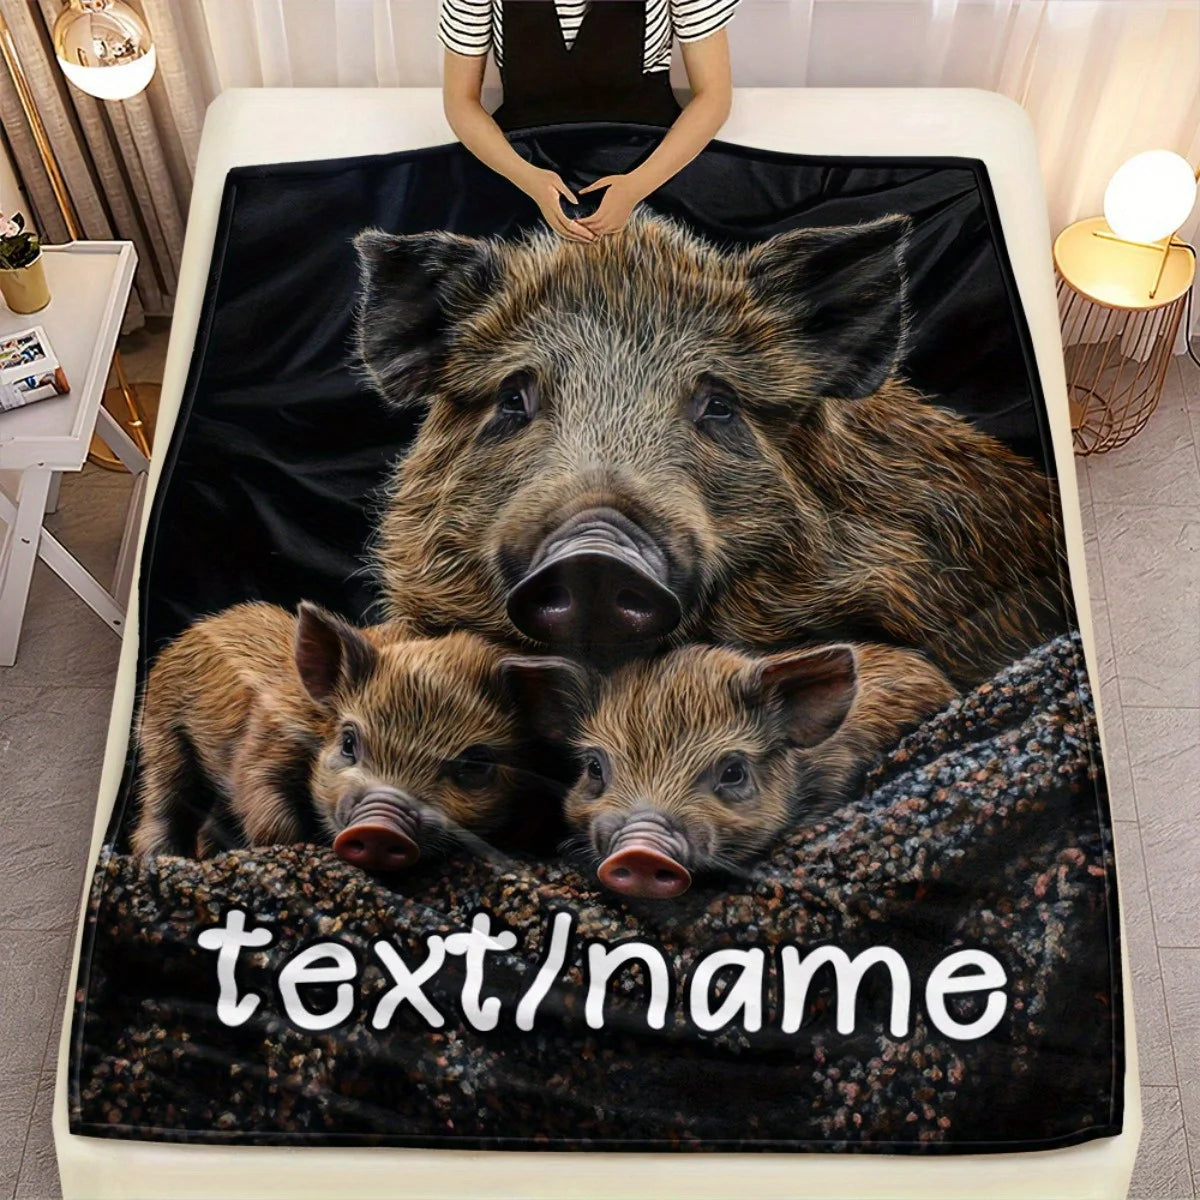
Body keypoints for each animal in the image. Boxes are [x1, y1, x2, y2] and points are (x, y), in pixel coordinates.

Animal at [131, 601, 562, 870]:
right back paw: (158, 856)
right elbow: (271, 819)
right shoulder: (266, 747)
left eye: (475, 763)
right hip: (162, 731)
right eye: (349, 742)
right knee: (165, 798)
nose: (377, 827)